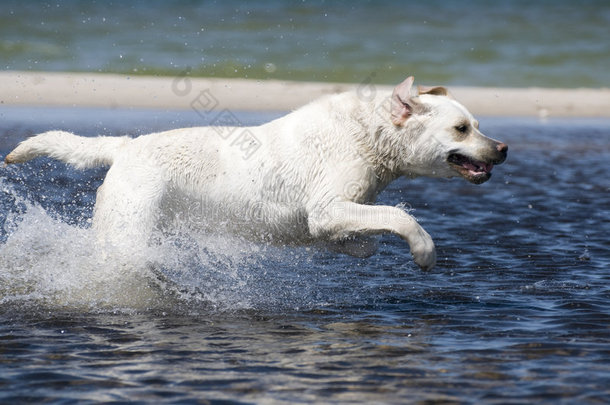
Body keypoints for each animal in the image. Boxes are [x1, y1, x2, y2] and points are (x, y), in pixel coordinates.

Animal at [7, 77, 506, 270]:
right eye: (461, 128)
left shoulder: (338, 212)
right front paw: (425, 252)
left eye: (478, 123)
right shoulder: (327, 206)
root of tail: (126, 147)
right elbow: (402, 217)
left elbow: (366, 234)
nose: (502, 149)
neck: (371, 133)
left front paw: (354, 245)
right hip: (127, 225)